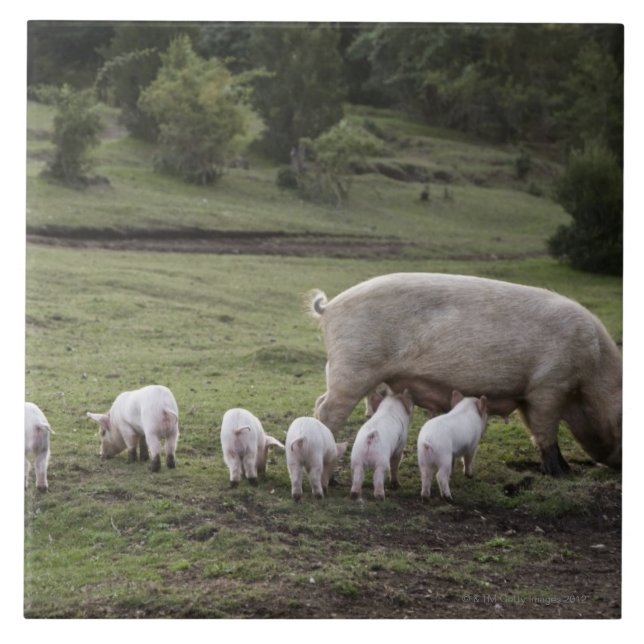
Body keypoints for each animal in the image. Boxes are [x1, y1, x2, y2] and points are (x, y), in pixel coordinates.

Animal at [309, 273, 622, 477]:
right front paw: (562, 473)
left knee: (320, 402)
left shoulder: (527, 394)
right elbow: (546, 430)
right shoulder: (548, 386)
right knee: (328, 410)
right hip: (353, 367)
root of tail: (331, 306)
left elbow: (535, 429)